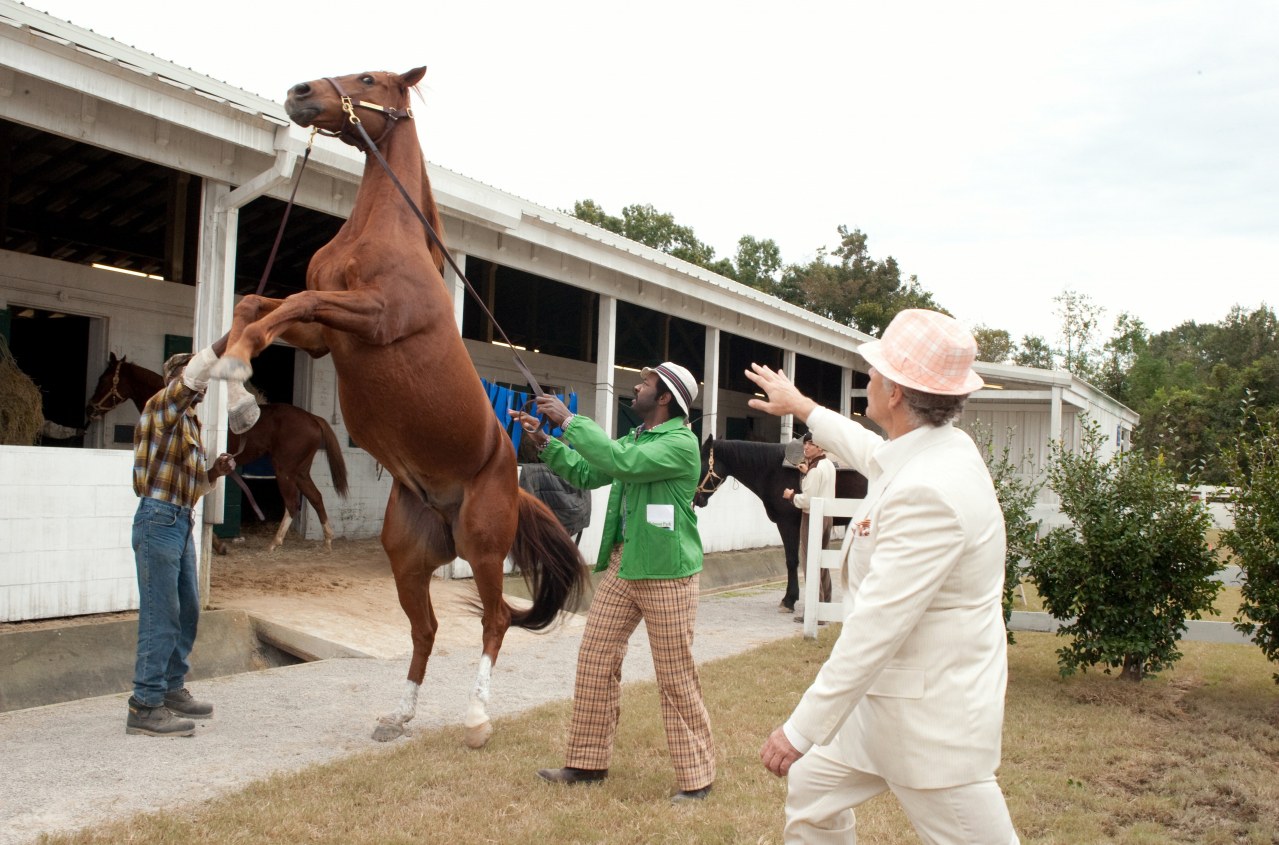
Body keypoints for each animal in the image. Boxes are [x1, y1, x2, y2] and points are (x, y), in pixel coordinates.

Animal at [85, 352, 350, 549]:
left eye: (103, 379)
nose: (91, 408)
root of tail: (314, 418)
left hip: (285, 470)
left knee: (293, 503)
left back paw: (276, 542)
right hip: (300, 471)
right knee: (315, 497)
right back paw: (327, 539)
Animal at [211, 67, 588, 746]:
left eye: (369, 77)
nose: (301, 93)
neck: (381, 232)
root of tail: (505, 479)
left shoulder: (372, 316)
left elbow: (293, 301)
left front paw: (239, 389)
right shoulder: (324, 335)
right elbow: (256, 304)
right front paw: (213, 374)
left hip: (483, 546)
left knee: (494, 620)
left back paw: (476, 718)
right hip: (408, 557)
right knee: (427, 628)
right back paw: (400, 715)